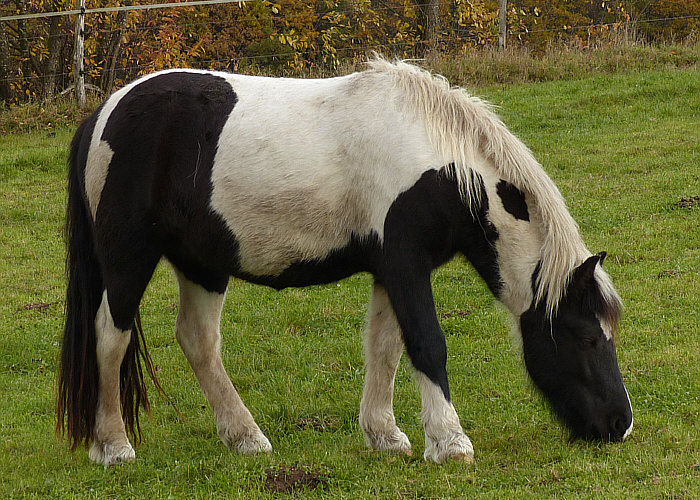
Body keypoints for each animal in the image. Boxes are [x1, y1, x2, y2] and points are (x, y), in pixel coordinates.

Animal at [57, 57, 633, 466]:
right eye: (587, 336)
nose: (620, 424)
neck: (437, 163)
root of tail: (102, 114)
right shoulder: (406, 266)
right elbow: (427, 344)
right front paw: (449, 442)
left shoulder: (390, 270)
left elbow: (385, 347)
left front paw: (385, 435)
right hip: (129, 260)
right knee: (110, 335)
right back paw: (113, 446)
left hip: (203, 264)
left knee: (198, 340)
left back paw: (245, 438)